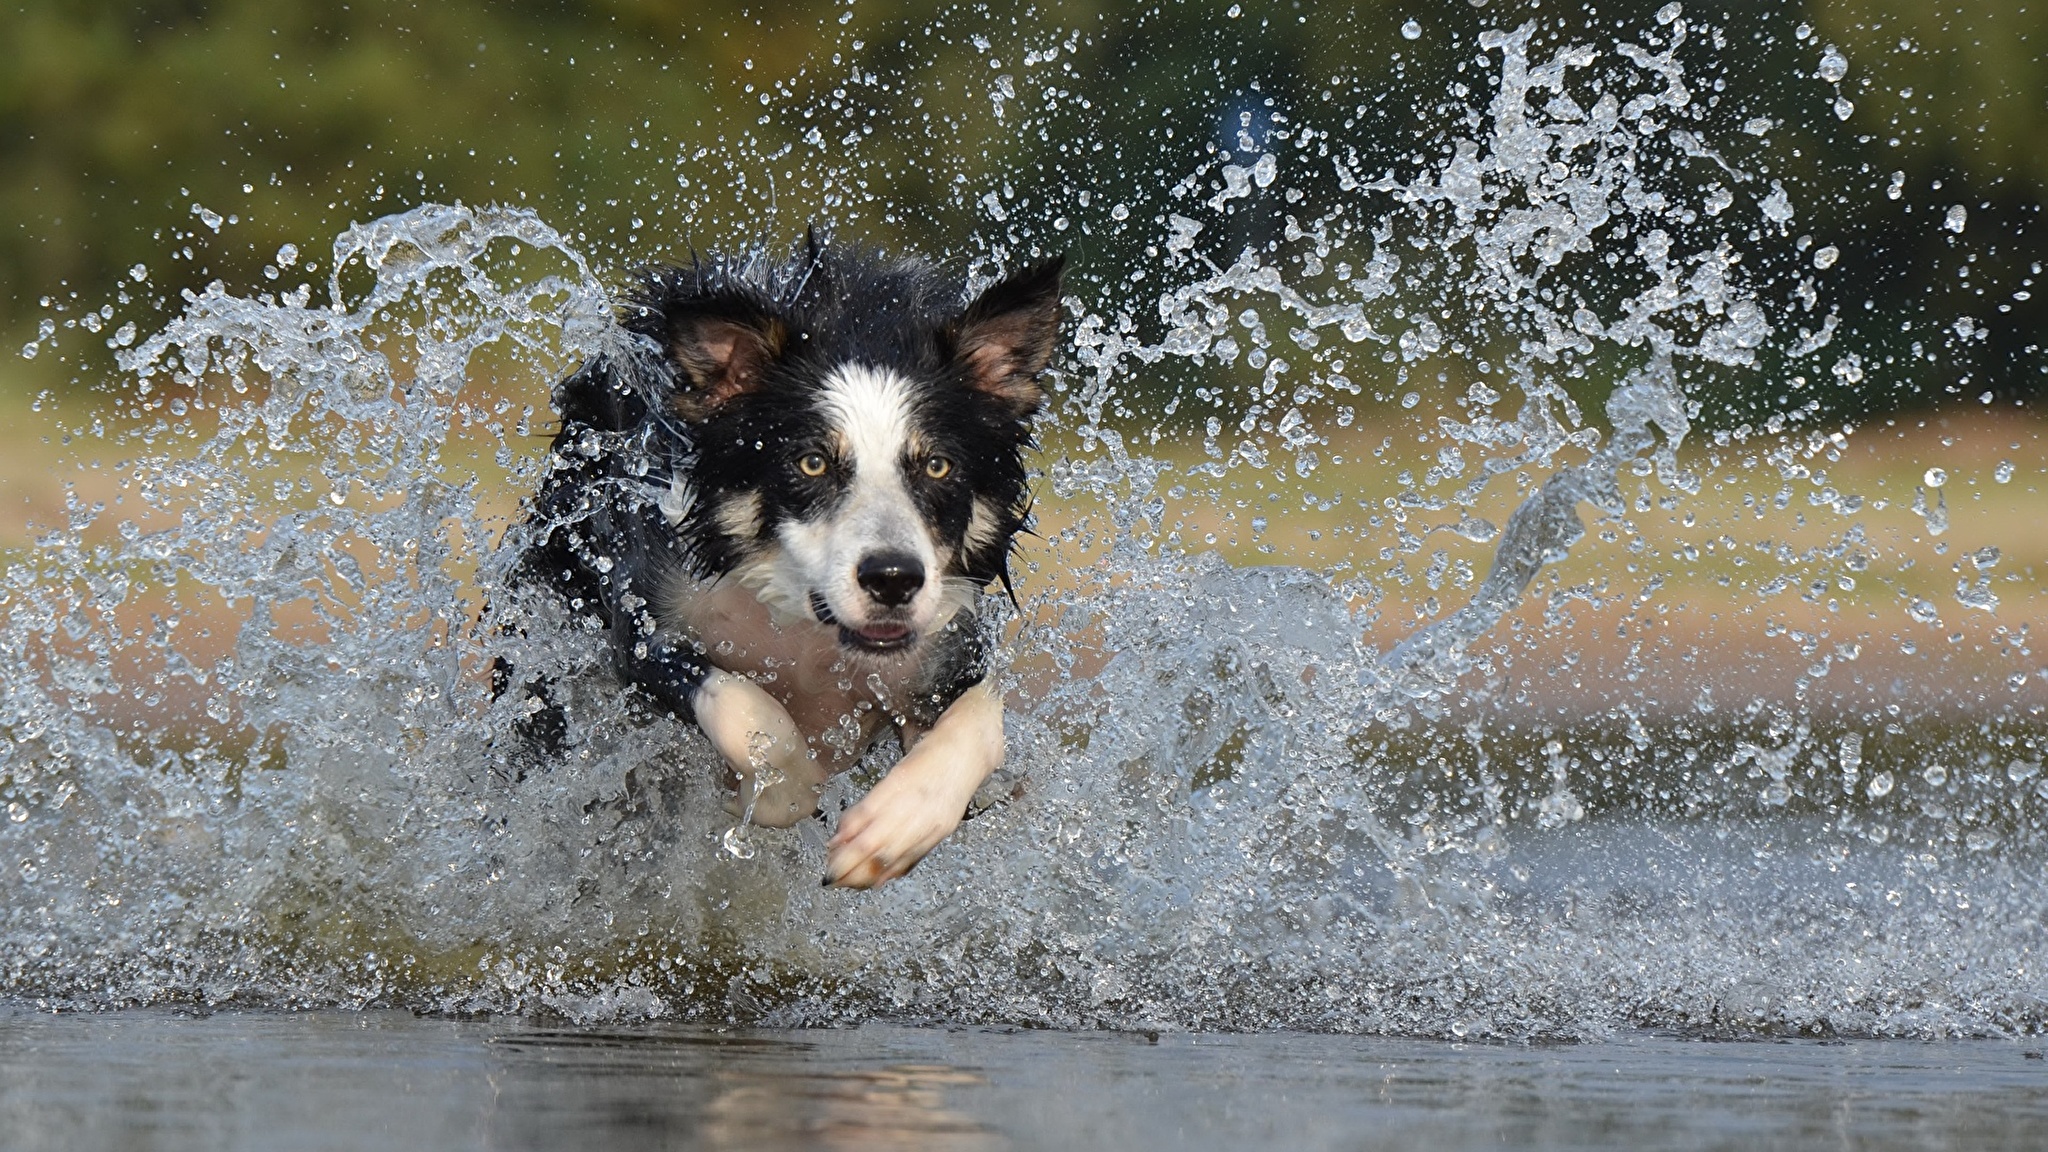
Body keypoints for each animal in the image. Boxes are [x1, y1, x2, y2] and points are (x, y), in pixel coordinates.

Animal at [501, 235, 1064, 889]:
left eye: (937, 466)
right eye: (811, 463)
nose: (893, 579)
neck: (805, 627)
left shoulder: (944, 646)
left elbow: (981, 718)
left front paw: (894, 827)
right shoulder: (644, 622)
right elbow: (750, 711)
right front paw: (778, 790)